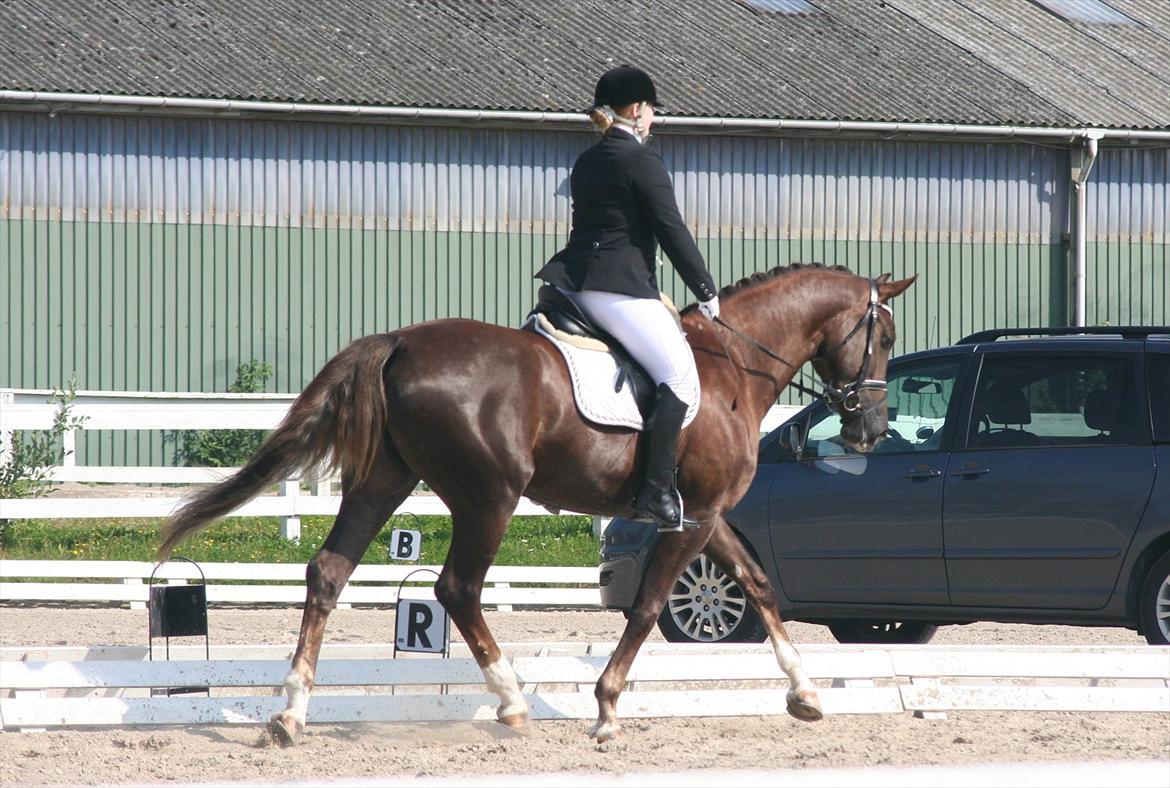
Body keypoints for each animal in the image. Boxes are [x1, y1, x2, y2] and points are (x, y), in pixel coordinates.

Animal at [157, 264, 912, 743]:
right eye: (885, 337)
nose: (870, 431)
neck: (731, 365)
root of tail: (399, 341)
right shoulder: (693, 515)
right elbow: (647, 606)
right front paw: (606, 709)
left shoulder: (706, 513)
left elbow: (757, 584)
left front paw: (805, 692)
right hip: (488, 496)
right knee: (456, 588)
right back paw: (512, 701)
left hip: (384, 482)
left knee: (328, 572)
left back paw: (292, 714)